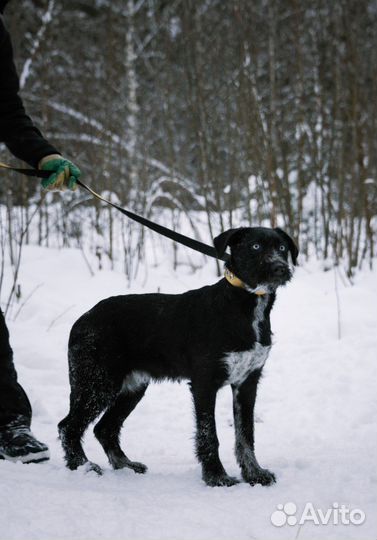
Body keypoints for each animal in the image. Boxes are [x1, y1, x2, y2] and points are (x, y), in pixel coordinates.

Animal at [58, 226, 296, 488]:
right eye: (255, 246)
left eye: (282, 247)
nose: (280, 268)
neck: (244, 303)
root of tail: (83, 319)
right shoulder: (204, 383)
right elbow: (208, 434)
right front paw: (216, 476)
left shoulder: (247, 383)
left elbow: (245, 434)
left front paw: (254, 473)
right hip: (98, 382)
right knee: (68, 426)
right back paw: (82, 466)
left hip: (132, 387)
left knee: (104, 428)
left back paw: (125, 465)